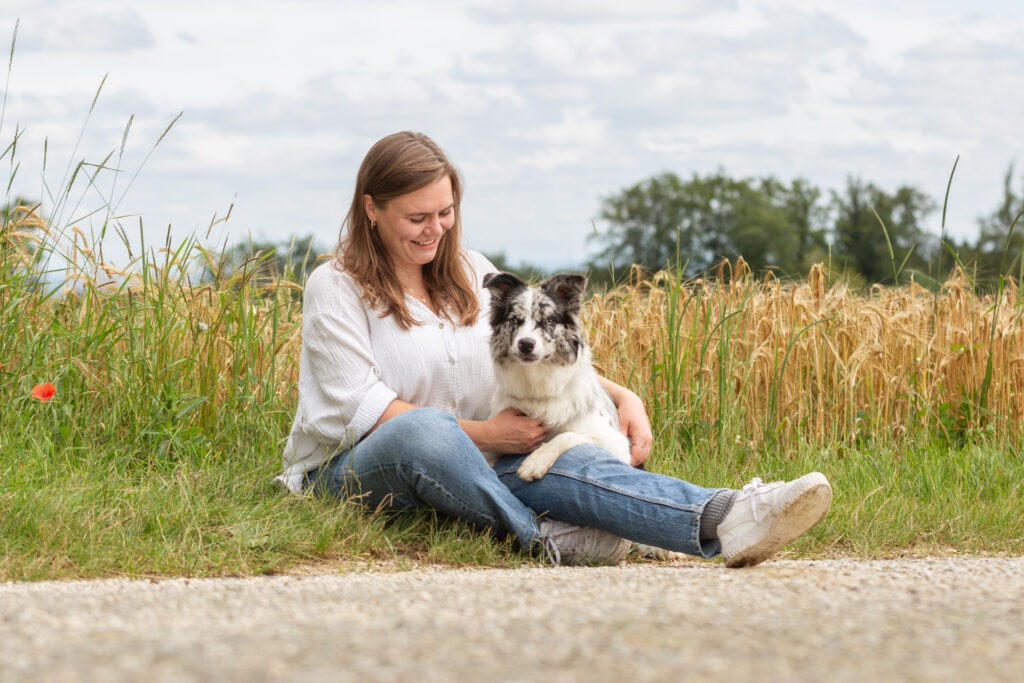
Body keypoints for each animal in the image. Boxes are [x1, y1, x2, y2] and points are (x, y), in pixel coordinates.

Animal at [481, 270, 630, 481]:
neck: (536, 384)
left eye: (549, 320)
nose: (526, 344)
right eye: (514, 320)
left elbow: (567, 436)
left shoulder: (616, 444)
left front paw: (536, 461)